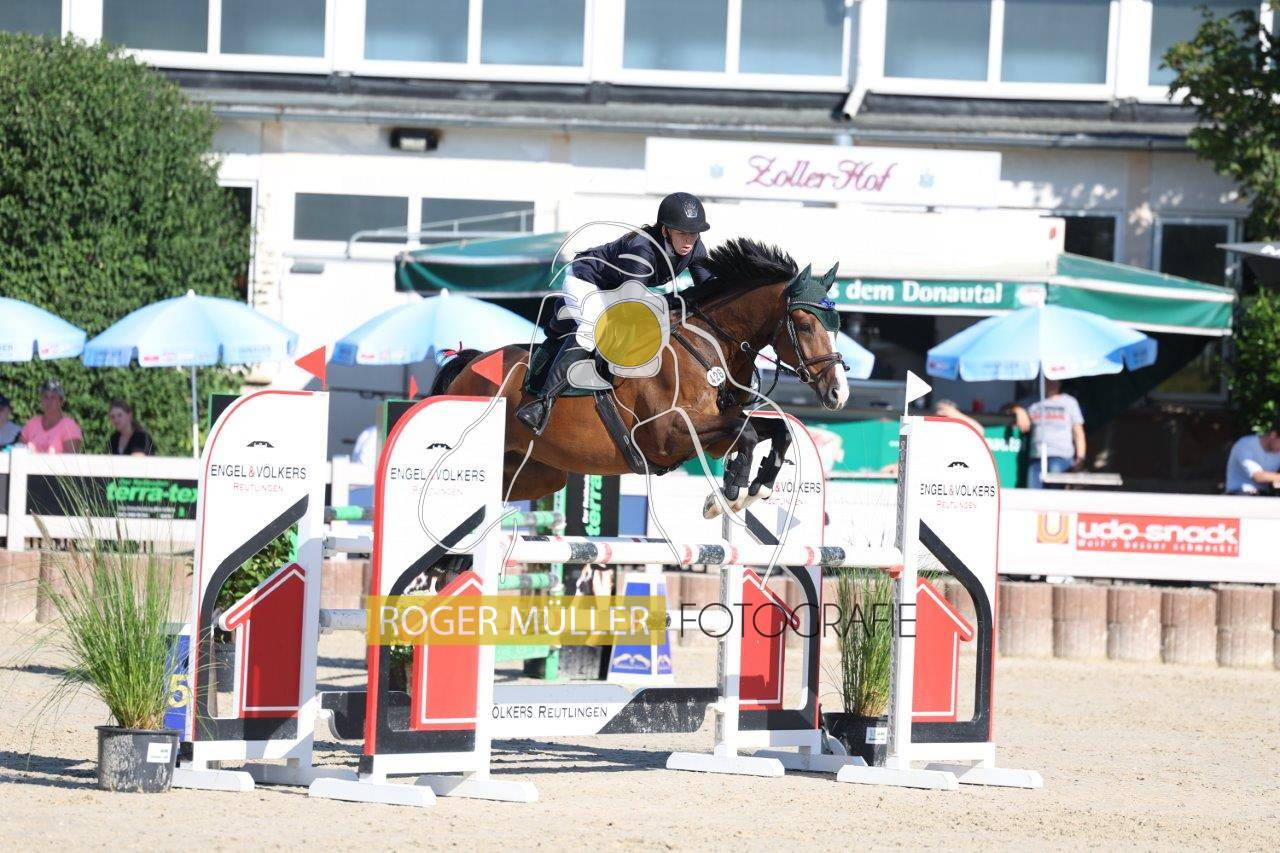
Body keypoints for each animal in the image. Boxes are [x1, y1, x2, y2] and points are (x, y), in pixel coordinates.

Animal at [430, 238, 850, 517]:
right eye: (805, 324)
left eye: (837, 324)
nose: (838, 394)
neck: (709, 346)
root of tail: (468, 364)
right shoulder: (666, 435)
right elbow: (747, 434)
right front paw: (727, 496)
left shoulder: (715, 436)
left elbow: (777, 431)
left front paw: (752, 490)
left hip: (537, 472)